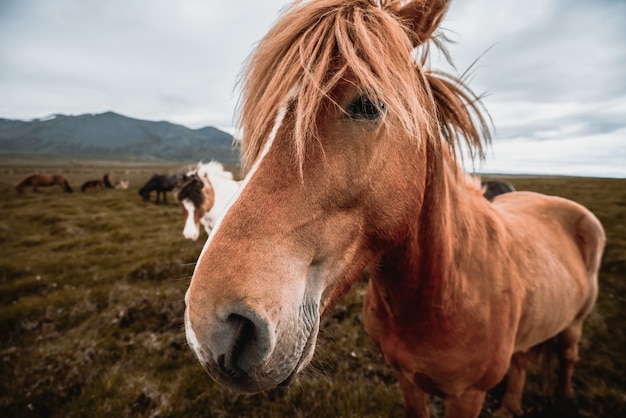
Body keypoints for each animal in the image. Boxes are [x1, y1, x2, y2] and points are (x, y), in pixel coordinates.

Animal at [182, 1, 604, 416]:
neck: (443, 289)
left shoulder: (468, 395)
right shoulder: (406, 378)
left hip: (575, 324)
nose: (214, 327)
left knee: (567, 357)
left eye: (368, 105)